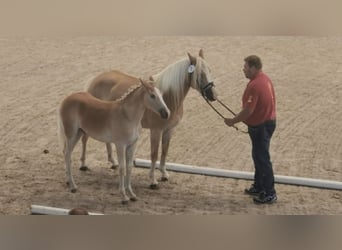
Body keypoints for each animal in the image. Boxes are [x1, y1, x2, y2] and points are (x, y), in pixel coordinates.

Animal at [82, 49, 218, 188]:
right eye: (200, 74)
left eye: (210, 70)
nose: (213, 95)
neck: (168, 96)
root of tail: (97, 78)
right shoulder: (156, 130)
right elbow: (154, 154)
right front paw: (152, 180)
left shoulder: (169, 130)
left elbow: (164, 151)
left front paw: (164, 174)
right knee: (84, 138)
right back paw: (83, 165)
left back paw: (113, 162)